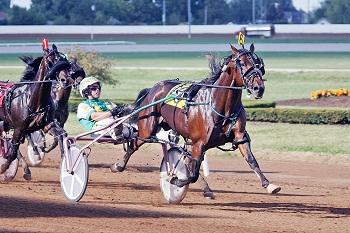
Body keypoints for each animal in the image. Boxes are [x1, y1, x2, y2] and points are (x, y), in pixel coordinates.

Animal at [0, 44, 72, 179]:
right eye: (51, 60)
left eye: (63, 60)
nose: (65, 79)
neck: (33, 99)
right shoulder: (19, 128)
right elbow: (13, 151)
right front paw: (4, 167)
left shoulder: (48, 124)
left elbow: (60, 136)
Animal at [113, 43, 280, 195]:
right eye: (242, 63)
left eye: (259, 63)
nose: (259, 88)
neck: (219, 106)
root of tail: (154, 88)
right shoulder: (199, 143)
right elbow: (192, 174)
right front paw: (176, 180)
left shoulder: (239, 137)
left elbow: (252, 160)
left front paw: (269, 185)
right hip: (148, 128)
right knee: (134, 143)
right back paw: (118, 165)